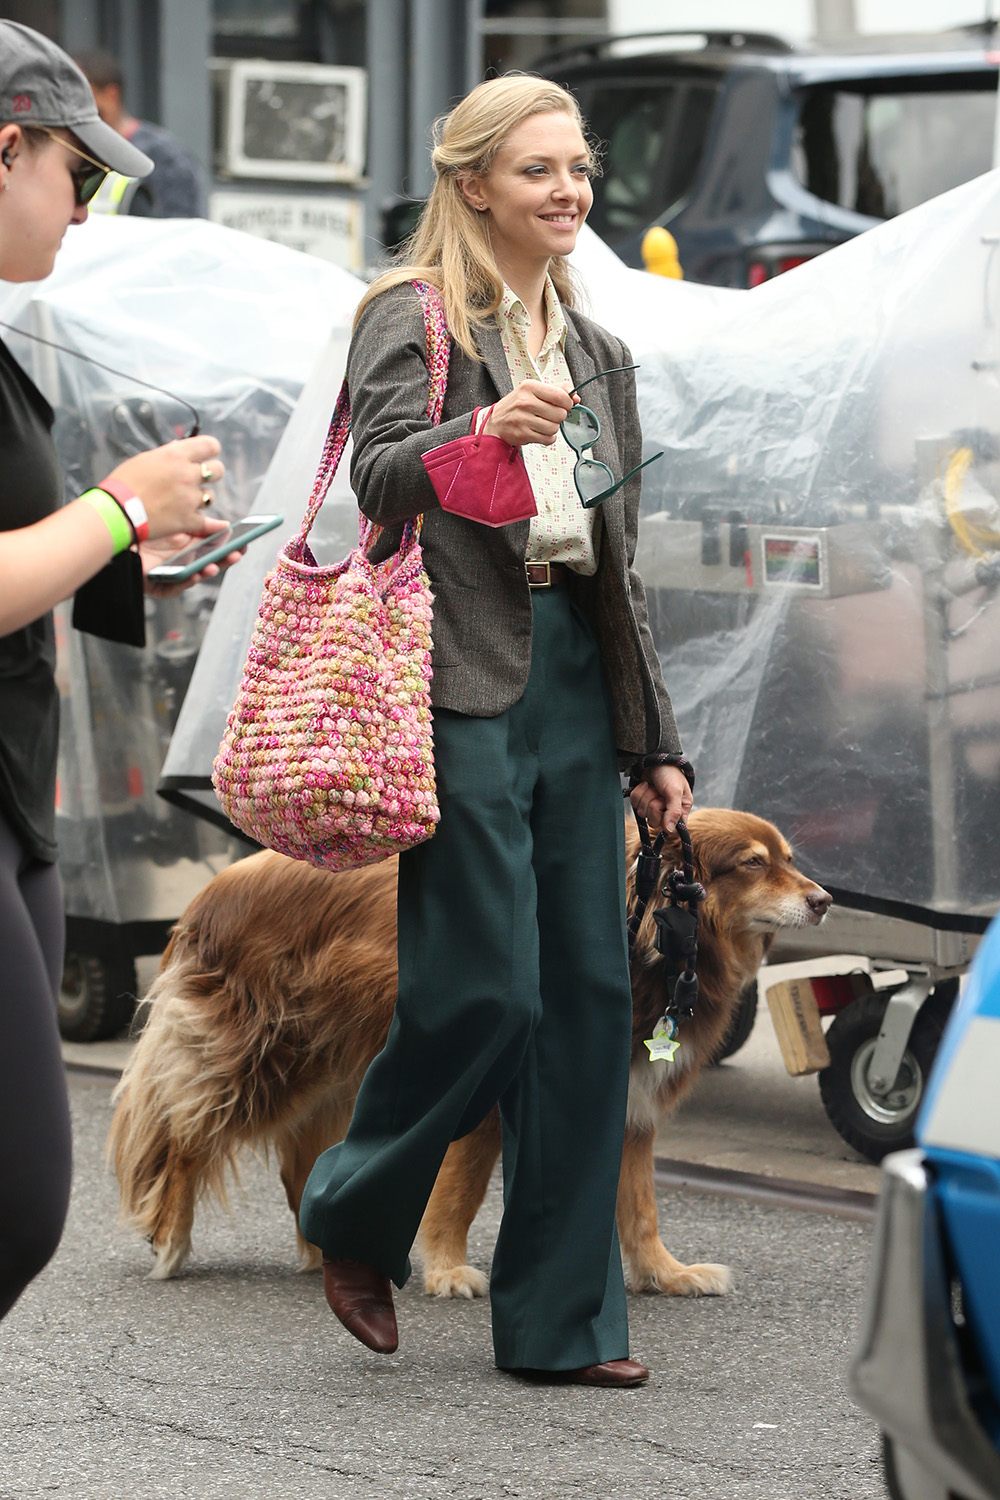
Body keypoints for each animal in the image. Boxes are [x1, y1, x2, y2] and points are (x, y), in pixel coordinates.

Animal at [109, 816, 833, 1296]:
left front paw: (666, 1273)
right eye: (752, 864)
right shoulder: (484, 1096)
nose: (825, 900)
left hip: (337, 1072)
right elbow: (461, 1190)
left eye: (788, 858)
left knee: (299, 1163)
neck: (647, 944)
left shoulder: (631, 1103)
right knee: (186, 1137)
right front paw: (450, 1270)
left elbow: (640, 1206)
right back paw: (172, 1241)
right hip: (264, 1063)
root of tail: (215, 888)